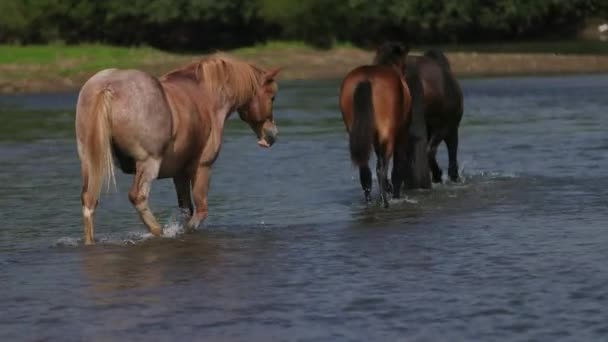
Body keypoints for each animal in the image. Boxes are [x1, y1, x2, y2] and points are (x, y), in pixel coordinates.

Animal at [75, 53, 282, 244]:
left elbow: (186, 210)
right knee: (138, 197)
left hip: (89, 161)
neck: (207, 96)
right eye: (272, 97)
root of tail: (107, 87)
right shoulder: (202, 167)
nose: (271, 135)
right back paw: (158, 231)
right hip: (148, 163)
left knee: (89, 201)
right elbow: (199, 212)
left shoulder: (179, 174)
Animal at [340, 41, 416, 207]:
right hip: (388, 135)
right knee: (382, 169)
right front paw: (394, 193)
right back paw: (385, 201)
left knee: (365, 171)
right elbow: (397, 166)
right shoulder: (401, 133)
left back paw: (370, 201)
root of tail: (366, 79)